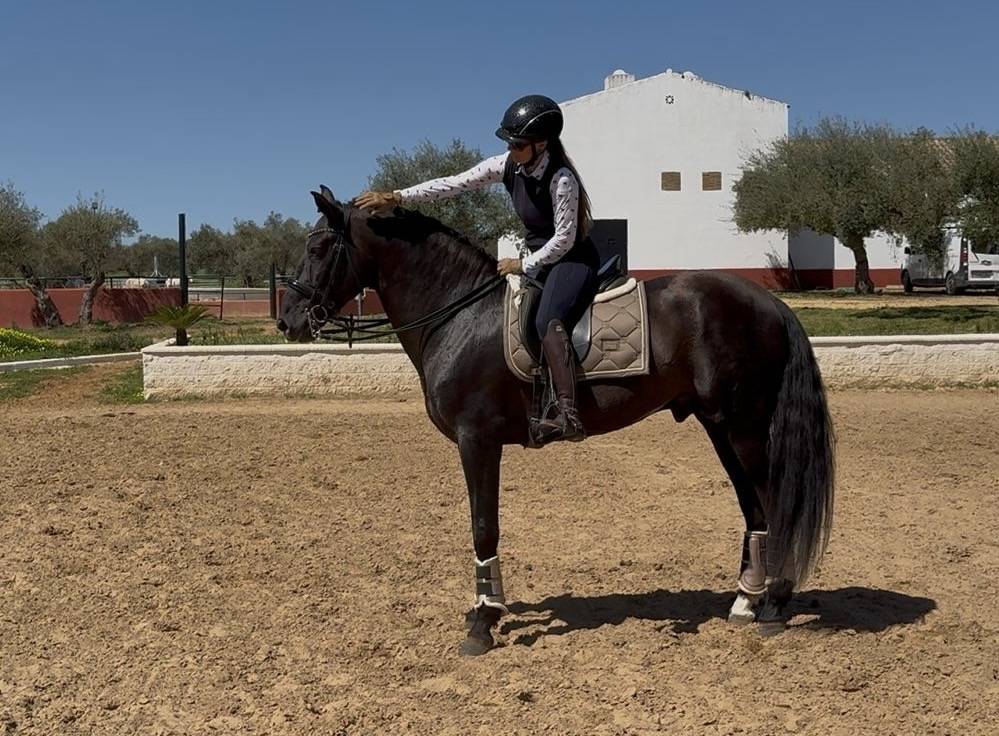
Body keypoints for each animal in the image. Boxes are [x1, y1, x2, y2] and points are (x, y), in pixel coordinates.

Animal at [278, 186, 835, 655]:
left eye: (321, 246)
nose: (288, 321)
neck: (460, 315)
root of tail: (768, 301)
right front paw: (488, 611)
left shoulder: (477, 441)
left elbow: (484, 527)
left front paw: (484, 622)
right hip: (720, 426)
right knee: (754, 506)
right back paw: (744, 601)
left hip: (744, 427)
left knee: (774, 500)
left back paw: (774, 605)